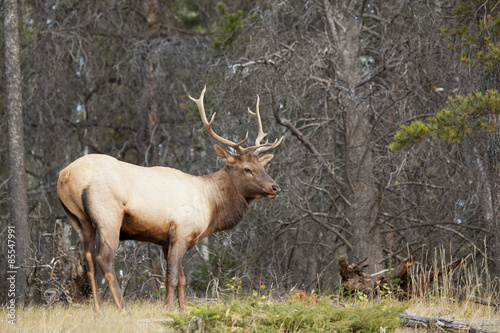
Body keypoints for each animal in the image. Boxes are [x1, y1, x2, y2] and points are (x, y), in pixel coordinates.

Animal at [57, 85, 284, 314]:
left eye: (263, 166)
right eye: (247, 169)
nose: (275, 187)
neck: (210, 207)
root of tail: (65, 175)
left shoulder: (167, 239)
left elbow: (182, 279)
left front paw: (182, 310)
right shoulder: (181, 232)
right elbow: (172, 277)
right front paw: (168, 309)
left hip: (78, 219)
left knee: (88, 262)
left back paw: (98, 312)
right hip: (108, 217)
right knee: (104, 260)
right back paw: (123, 309)